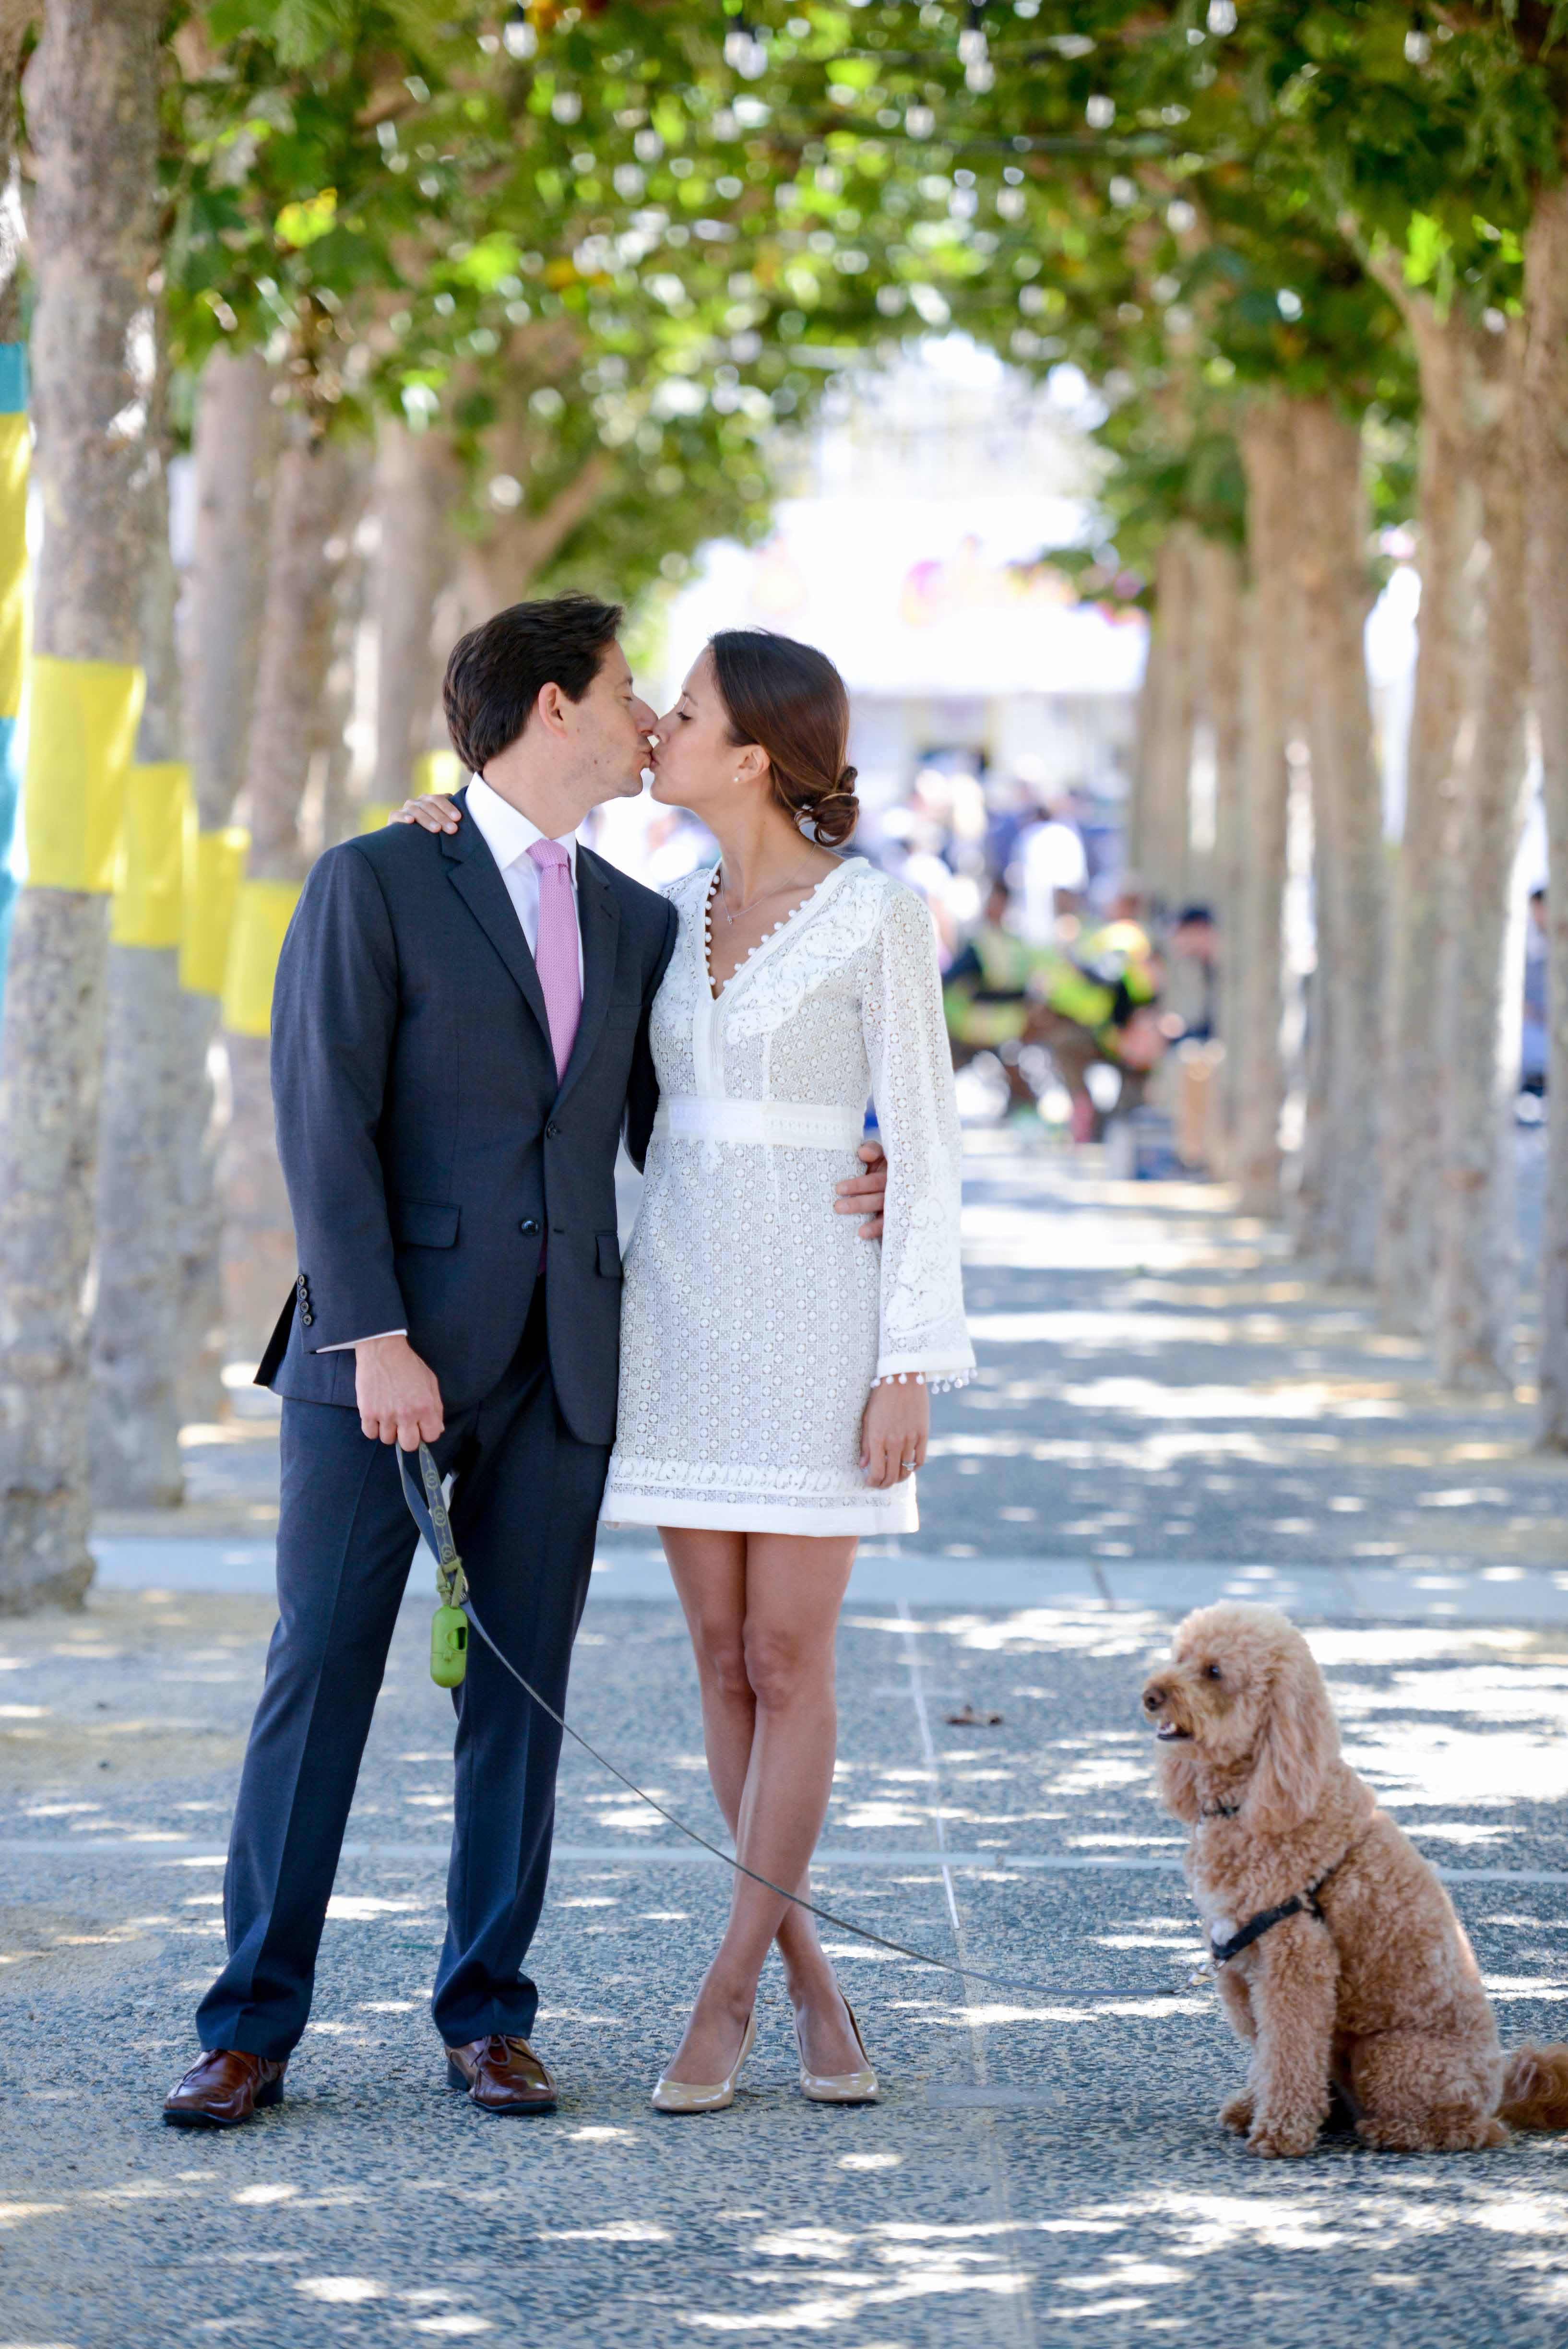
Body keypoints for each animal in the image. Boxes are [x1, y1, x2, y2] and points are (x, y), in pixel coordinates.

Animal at [1142, 1606, 1568, 2151]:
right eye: (1179, 1657)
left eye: (1214, 1671)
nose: (1151, 1695)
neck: (1251, 1796)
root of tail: (1499, 2090)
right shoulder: (1239, 1959)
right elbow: (1268, 2050)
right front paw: (1259, 2107)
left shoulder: (1296, 1954)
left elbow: (1288, 2050)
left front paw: (1281, 2132)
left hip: (1391, 2057)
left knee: (1471, 2130)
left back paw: (1393, 2130)